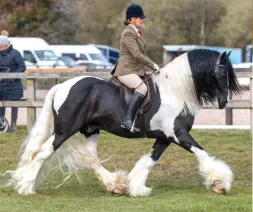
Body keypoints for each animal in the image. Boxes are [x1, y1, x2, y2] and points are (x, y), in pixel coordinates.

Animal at [2, 48, 242, 196]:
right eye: (223, 73)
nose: (224, 102)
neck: (175, 90)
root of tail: (61, 86)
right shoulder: (178, 134)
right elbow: (202, 154)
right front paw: (220, 183)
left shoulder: (165, 137)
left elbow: (150, 160)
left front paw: (136, 187)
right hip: (64, 130)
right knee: (43, 152)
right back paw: (25, 186)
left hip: (90, 129)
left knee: (90, 157)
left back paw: (115, 185)